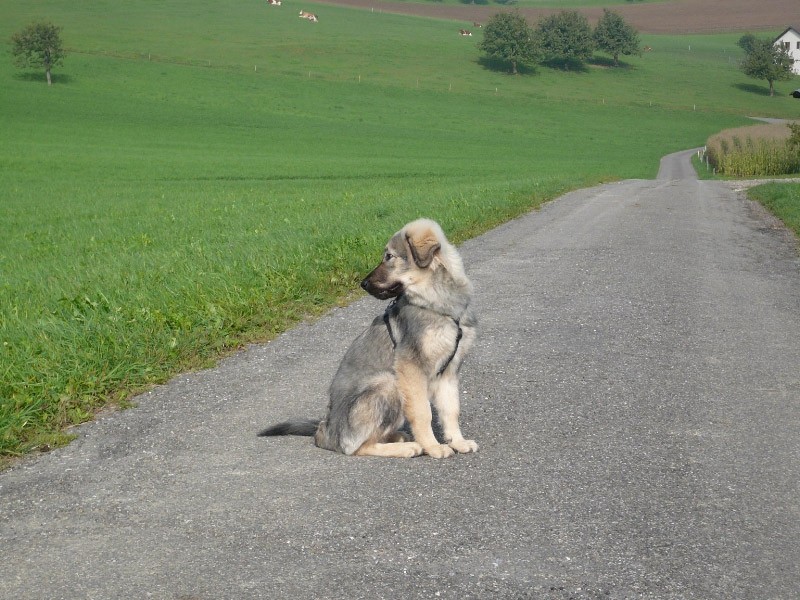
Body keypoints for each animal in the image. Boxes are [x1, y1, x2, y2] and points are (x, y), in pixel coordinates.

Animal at [260, 220, 478, 460]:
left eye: (389, 256)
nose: (362, 284)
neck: (437, 303)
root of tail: (325, 431)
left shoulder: (449, 369)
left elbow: (451, 410)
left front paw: (458, 441)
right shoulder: (411, 369)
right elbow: (423, 412)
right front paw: (433, 446)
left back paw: (398, 437)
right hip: (388, 382)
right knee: (357, 447)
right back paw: (407, 447)